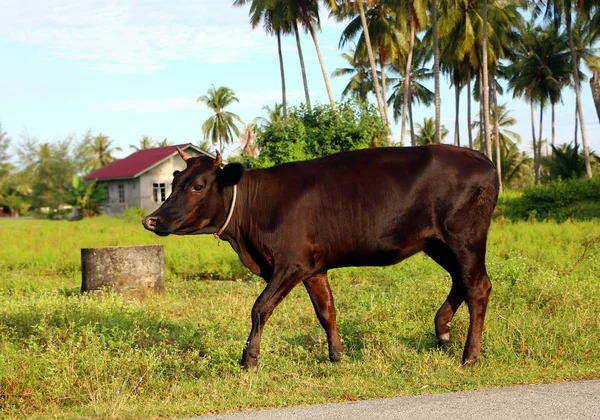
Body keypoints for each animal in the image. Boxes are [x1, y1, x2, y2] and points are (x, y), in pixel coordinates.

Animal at [143, 145, 500, 368]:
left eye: (198, 186)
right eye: (174, 181)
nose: (152, 220)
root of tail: (481, 157)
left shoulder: (292, 263)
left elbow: (260, 308)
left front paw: (249, 359)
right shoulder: (314, 268)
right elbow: (326, 311)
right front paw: (337, 356)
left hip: (465, 237)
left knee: (478, 286)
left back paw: (470, 356)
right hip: (436, 242)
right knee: (460, 281)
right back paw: (442, 329)